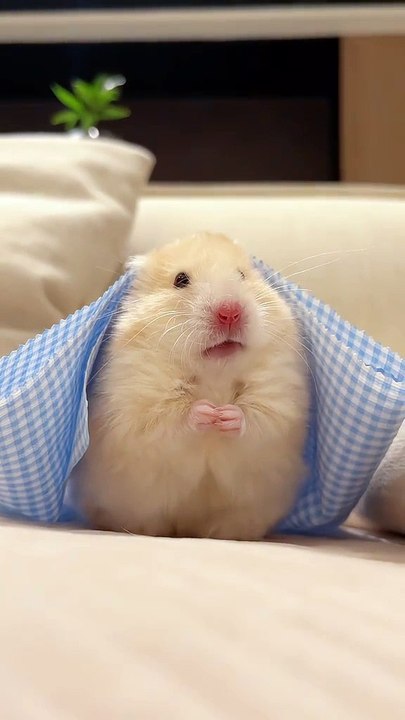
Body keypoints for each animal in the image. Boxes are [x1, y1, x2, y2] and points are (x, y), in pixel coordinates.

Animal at [72, 232, 309, 540]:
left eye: (242, 275)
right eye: (180, 280)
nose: (230, 312)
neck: (215, 374)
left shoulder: (278, 399)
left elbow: (258, 419)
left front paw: (225, 415)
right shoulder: (138, 404)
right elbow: (170, 419)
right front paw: (208, 412)